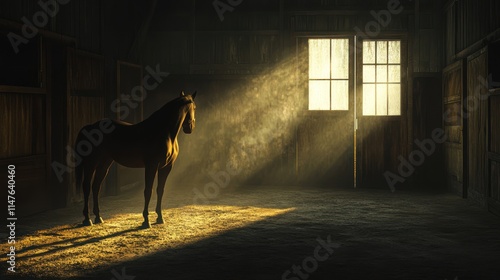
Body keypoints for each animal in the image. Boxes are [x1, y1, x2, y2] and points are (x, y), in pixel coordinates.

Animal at [74, 91, 195, 229]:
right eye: (194, 107)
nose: (190, 128)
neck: (164, 132)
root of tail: (90, 127)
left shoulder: (166, 167)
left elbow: (160, 190)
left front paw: (160, 217)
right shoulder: (151, 165)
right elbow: (148, 191)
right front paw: (146, 221)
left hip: (105, 163)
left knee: (96, 187)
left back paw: (98, 217)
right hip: (91, 162)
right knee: (87, 186)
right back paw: (87, 219)